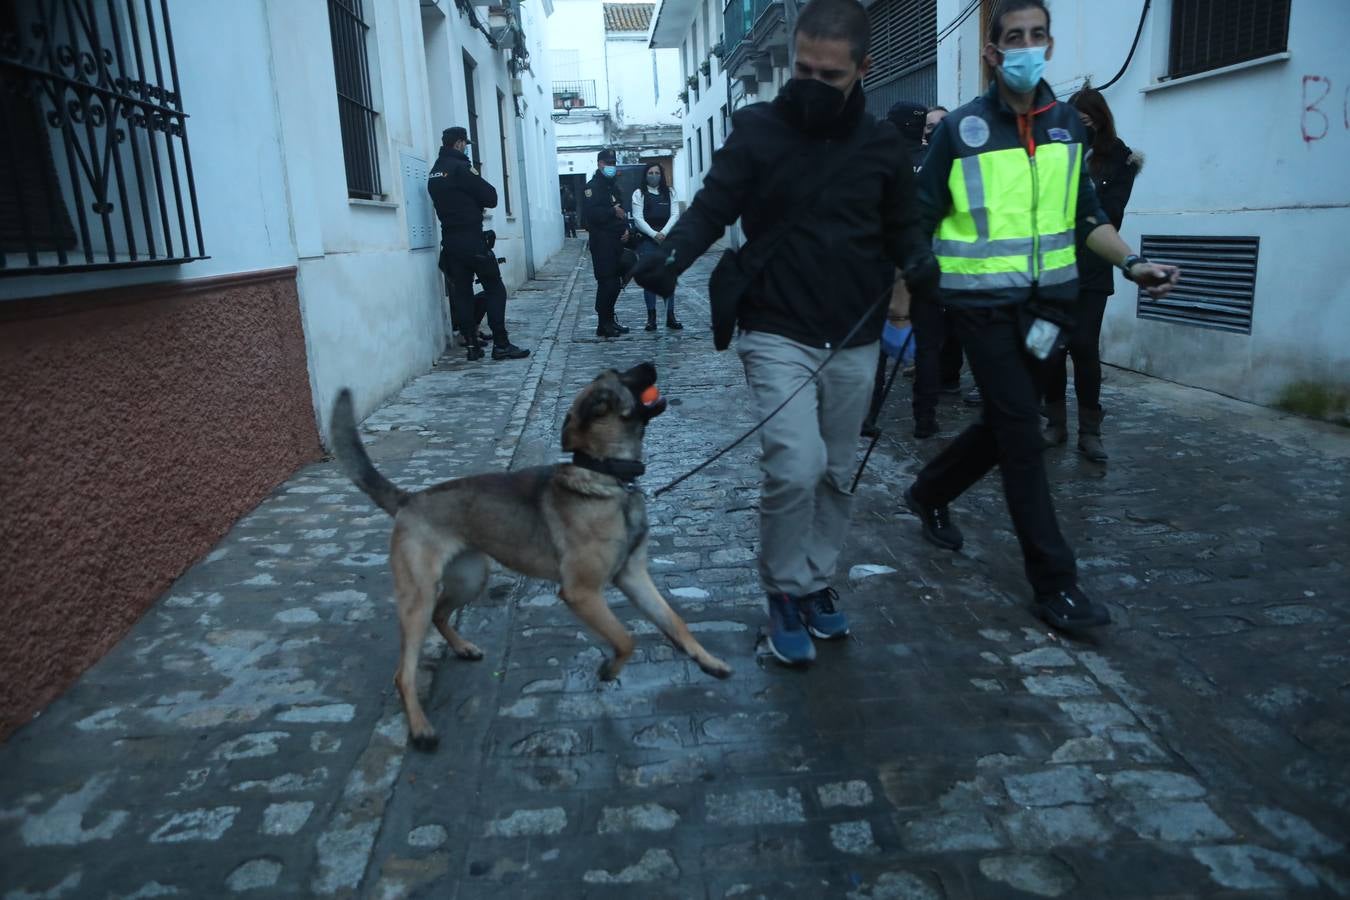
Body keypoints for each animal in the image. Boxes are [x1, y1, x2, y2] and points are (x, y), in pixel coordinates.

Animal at [329, 361, 729, 750]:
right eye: (620, 378)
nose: (650, 362)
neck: (605, 477)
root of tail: (409, 500)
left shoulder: (633, 576)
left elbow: (675, 621)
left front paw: (708, 661)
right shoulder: (582, 593)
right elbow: (625, 639)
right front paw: (609, 670)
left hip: (472, 578)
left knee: (442, 614)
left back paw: (463, 648)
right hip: (418, 598)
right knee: (404, 671)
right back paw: (420, 727)